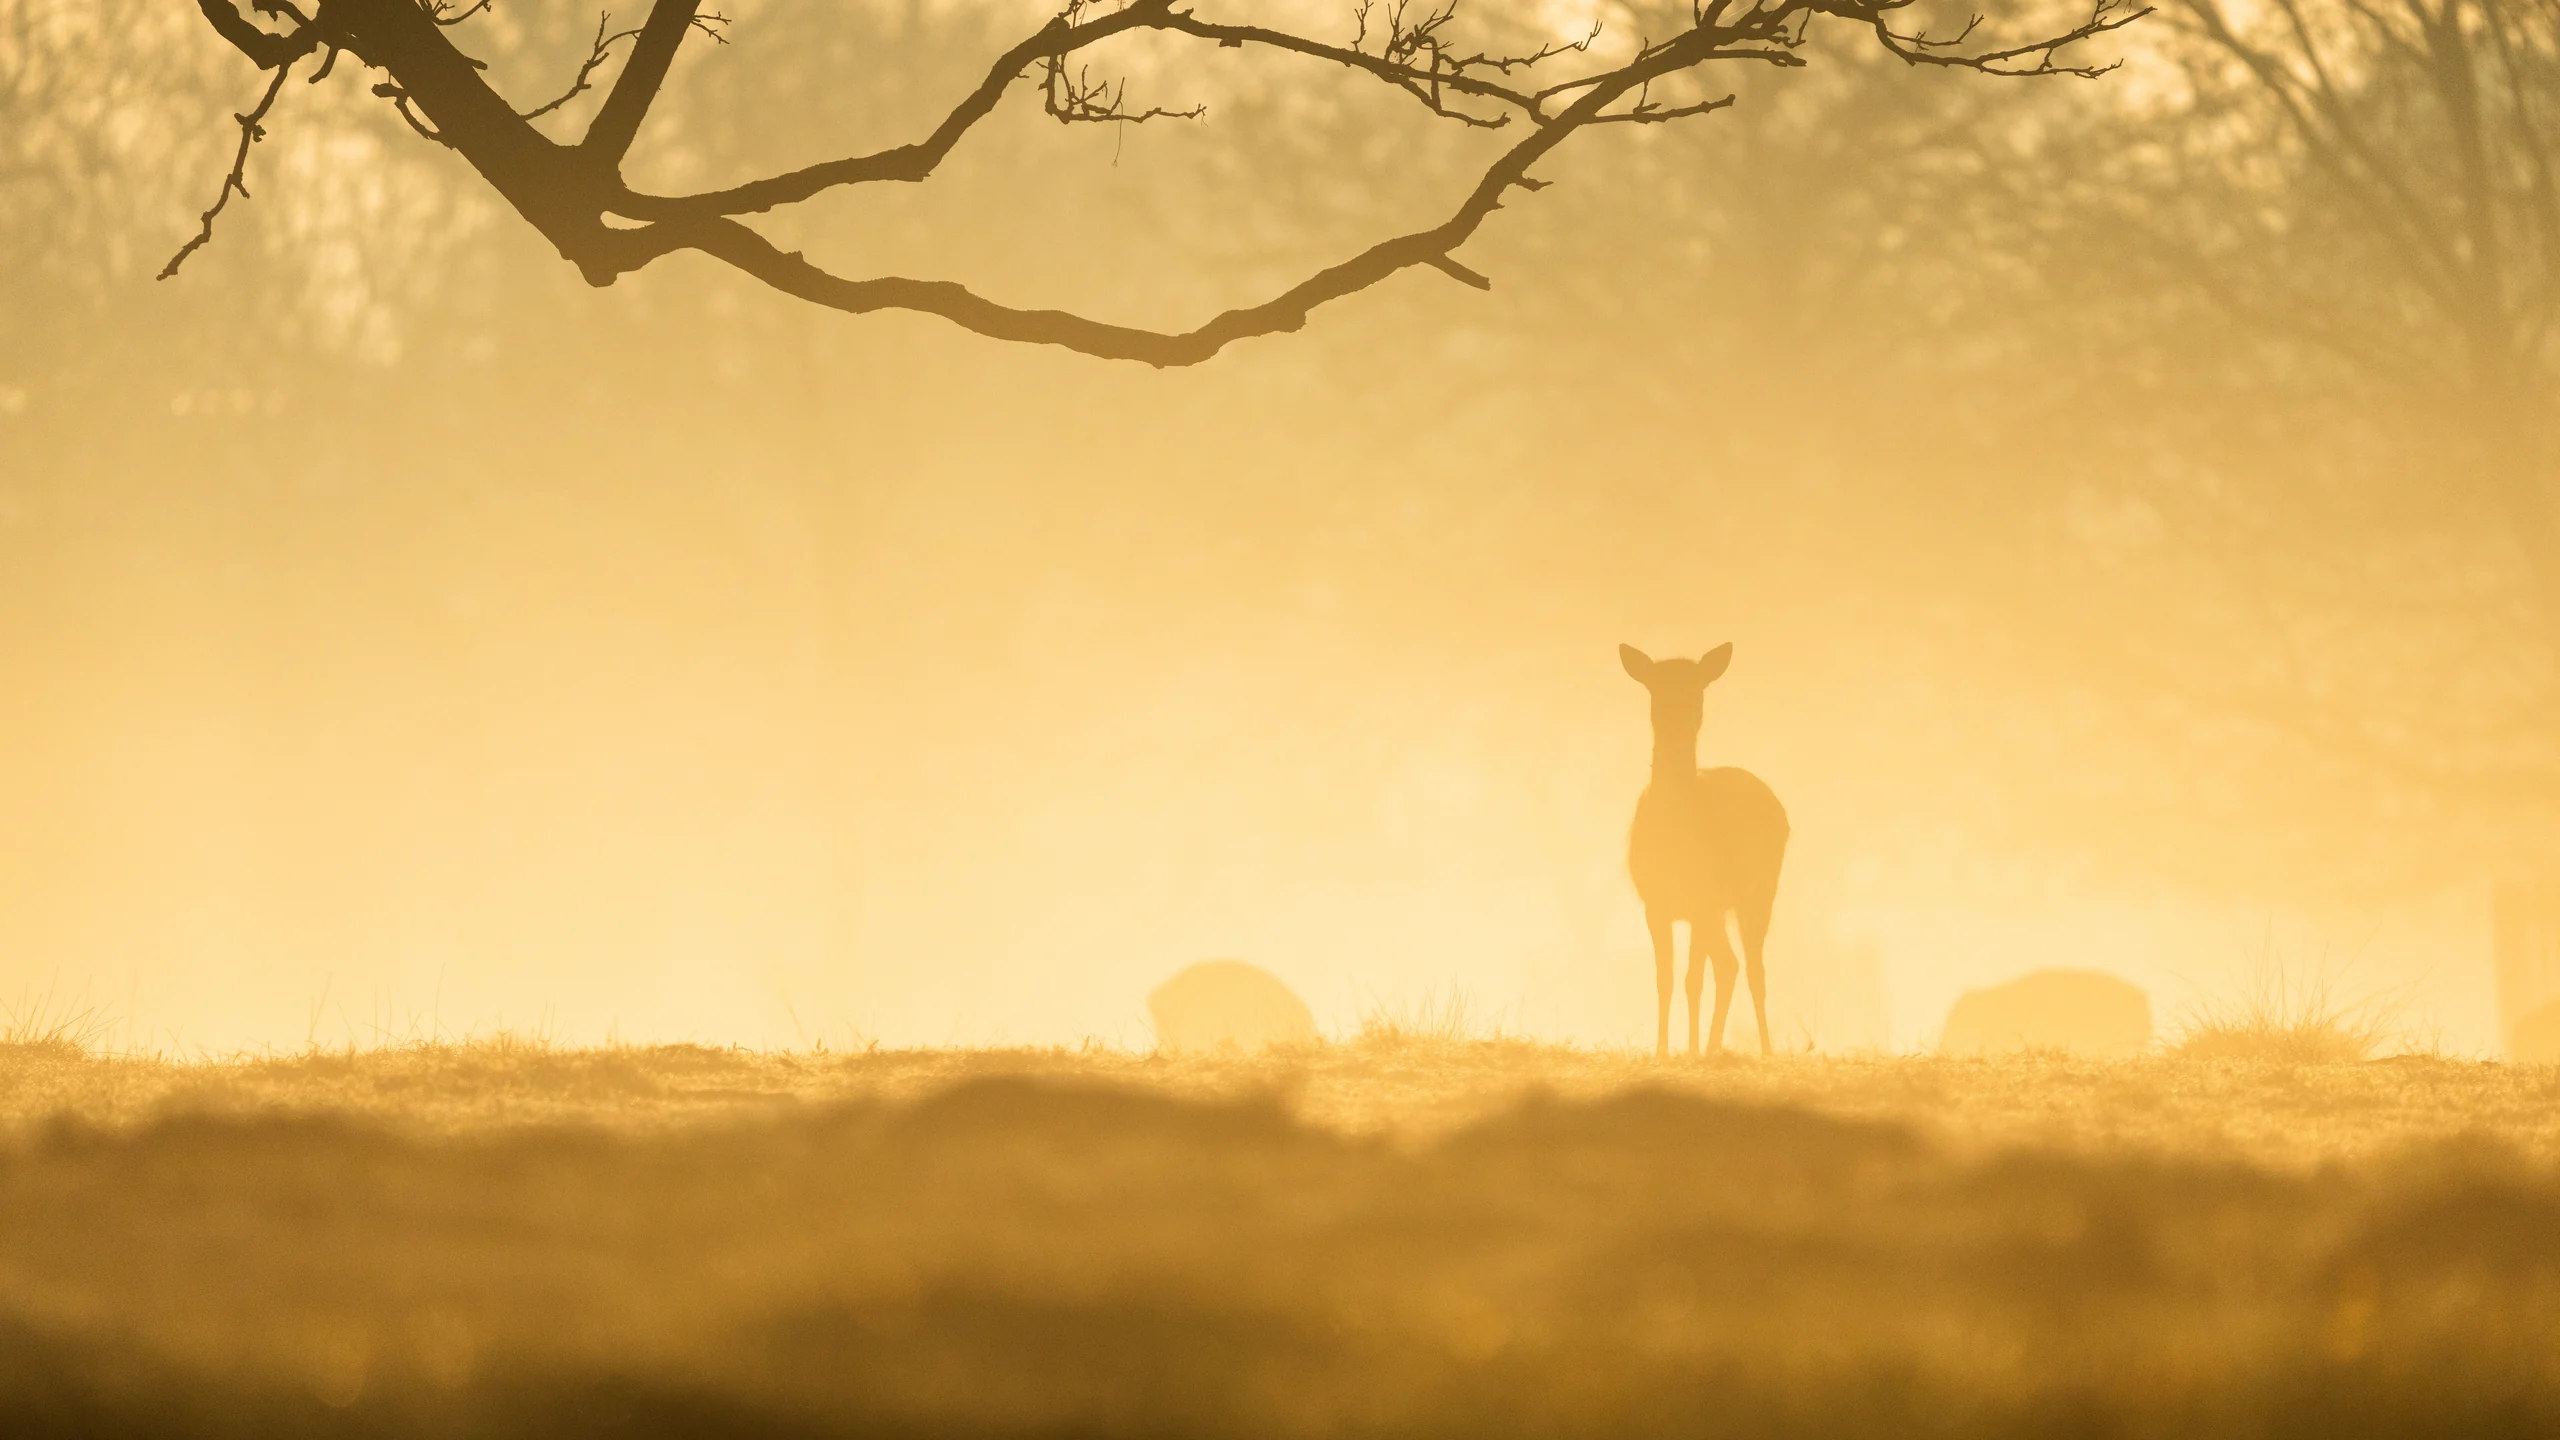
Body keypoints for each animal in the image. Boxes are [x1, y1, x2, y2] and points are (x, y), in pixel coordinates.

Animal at [1621, 642, 1790, 1057]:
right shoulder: (1656, 904)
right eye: (1656, 689)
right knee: (1728, 964)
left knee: (1753, 970)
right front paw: (1663, 1051)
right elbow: (1664, 979)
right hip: (1718, 910)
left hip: (1759, 892)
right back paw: (1714, 1048)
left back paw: (1763, 1050)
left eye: (1698, 690)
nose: (1679, 720)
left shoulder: (1701, 900)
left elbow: (1692, 979)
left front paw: (1691, 1052)